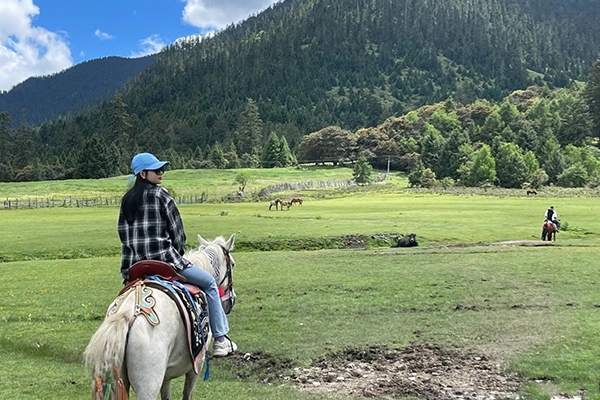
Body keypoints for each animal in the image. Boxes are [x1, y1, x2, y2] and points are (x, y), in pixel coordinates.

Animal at [84, 234, 237, 400]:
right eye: (233, 264)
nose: (231, 301)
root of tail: (130, 311)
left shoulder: (166, 376)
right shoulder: (197, 365)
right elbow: (187, 394)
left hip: (117, 382)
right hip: (149, 384)